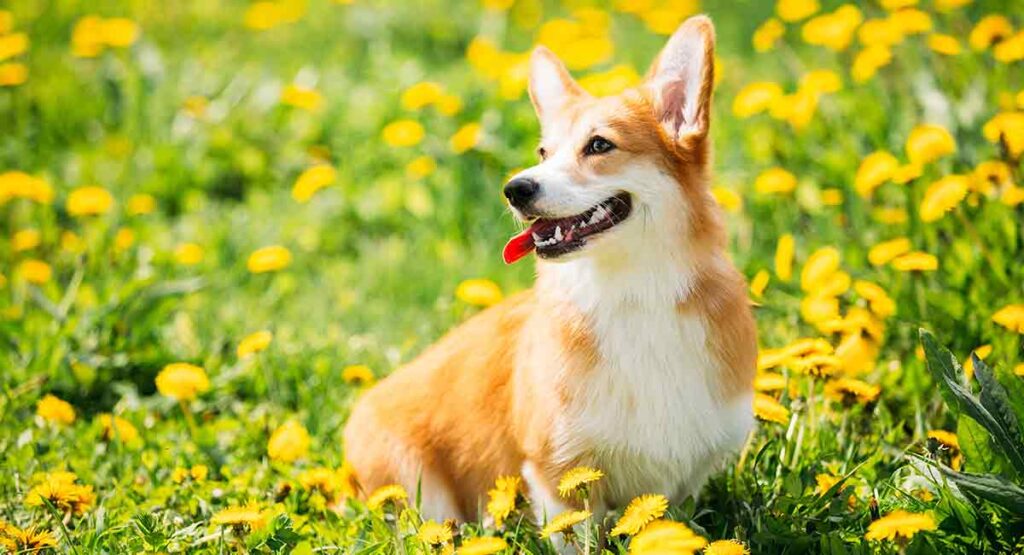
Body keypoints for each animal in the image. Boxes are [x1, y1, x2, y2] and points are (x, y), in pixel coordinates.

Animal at [348, 14, 757, 528]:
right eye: (543, 152)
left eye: (599, 145)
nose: (515, 189)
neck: (631, 293)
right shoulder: (557, 468)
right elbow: (575, 532)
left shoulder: (683, 476)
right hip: (418, 490)